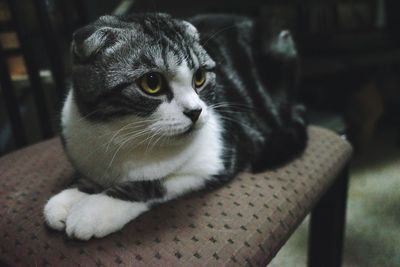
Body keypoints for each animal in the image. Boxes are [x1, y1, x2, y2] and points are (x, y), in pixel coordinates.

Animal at [43, 13, 306, 242]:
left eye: (199, 77)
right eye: (152, 83)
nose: (195, 111)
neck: (124, 136)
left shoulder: (218, 159)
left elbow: (154, 182)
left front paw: (94, 210)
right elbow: (90, 178)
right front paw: (70, 197)